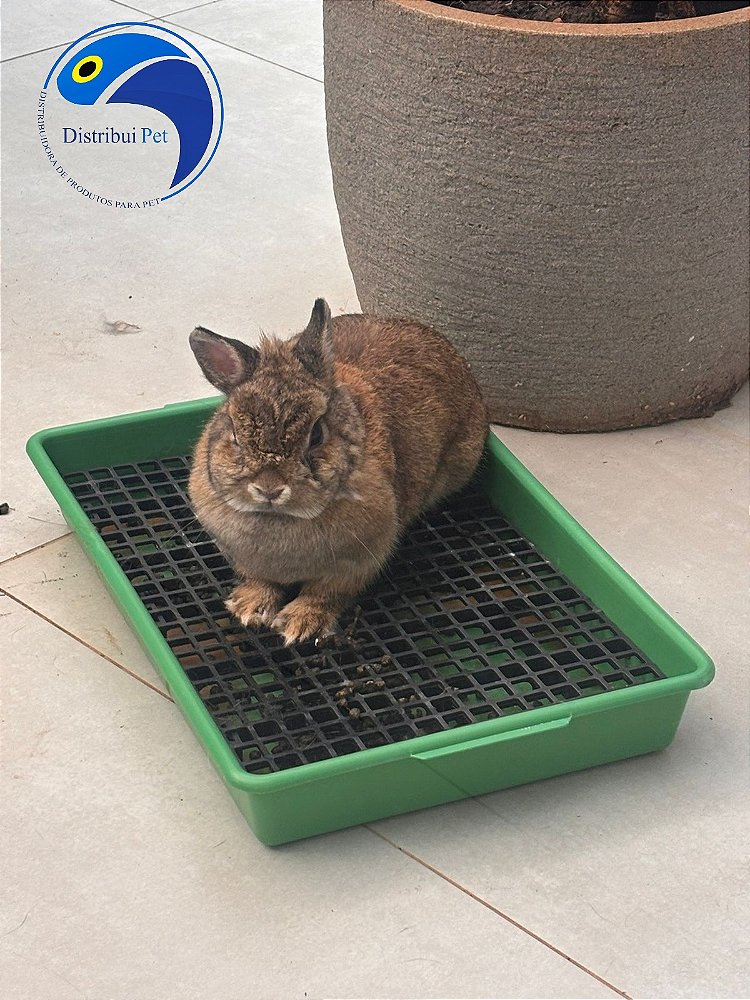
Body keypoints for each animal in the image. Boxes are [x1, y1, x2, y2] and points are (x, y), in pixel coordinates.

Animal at [188, 298, 489, 646]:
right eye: (236, 435)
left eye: (317, 435)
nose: (269, 488)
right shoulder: (247, 560)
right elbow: (260, 581)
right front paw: (249, 608)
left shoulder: (356, 562)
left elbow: (324, 594)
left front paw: (300, 625)